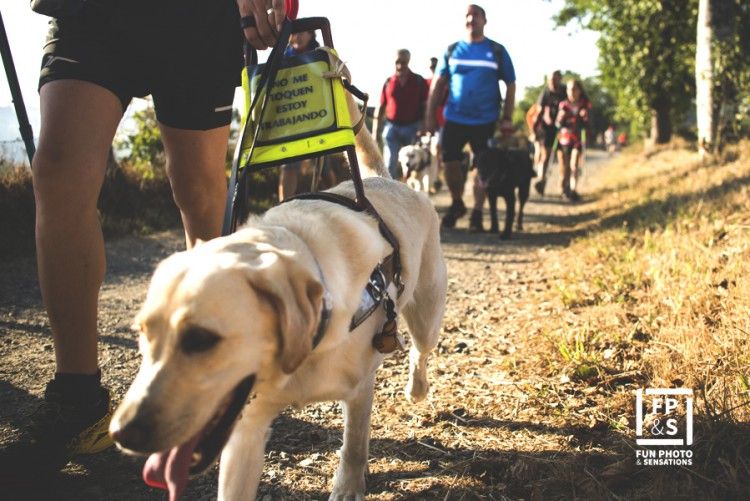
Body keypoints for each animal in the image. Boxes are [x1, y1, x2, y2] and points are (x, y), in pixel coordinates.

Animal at [111, 99, 446, 498]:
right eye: (142, 334)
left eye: (201, 339)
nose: (121, 433)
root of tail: (388, 180)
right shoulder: (246, 430)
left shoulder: (360, 389)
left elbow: (354, 443)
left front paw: (348, 485)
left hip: (426, 313)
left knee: (419, 351)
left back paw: (417, 388)